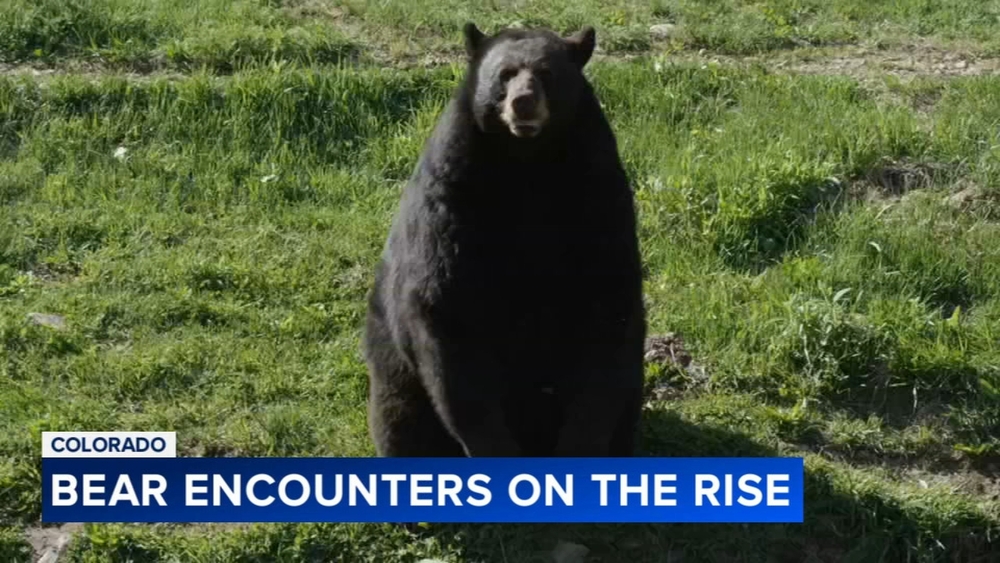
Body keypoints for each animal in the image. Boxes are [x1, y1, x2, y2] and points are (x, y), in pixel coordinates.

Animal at [362, 22, 646, 458]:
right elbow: (445, 306)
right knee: (400, 416)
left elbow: (608, 307)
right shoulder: (452, 195)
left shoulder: (597, 193)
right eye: (505, 74)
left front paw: (580, 445)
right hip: (393, 362)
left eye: (546, 73)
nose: (523, 102)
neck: (525, 163)